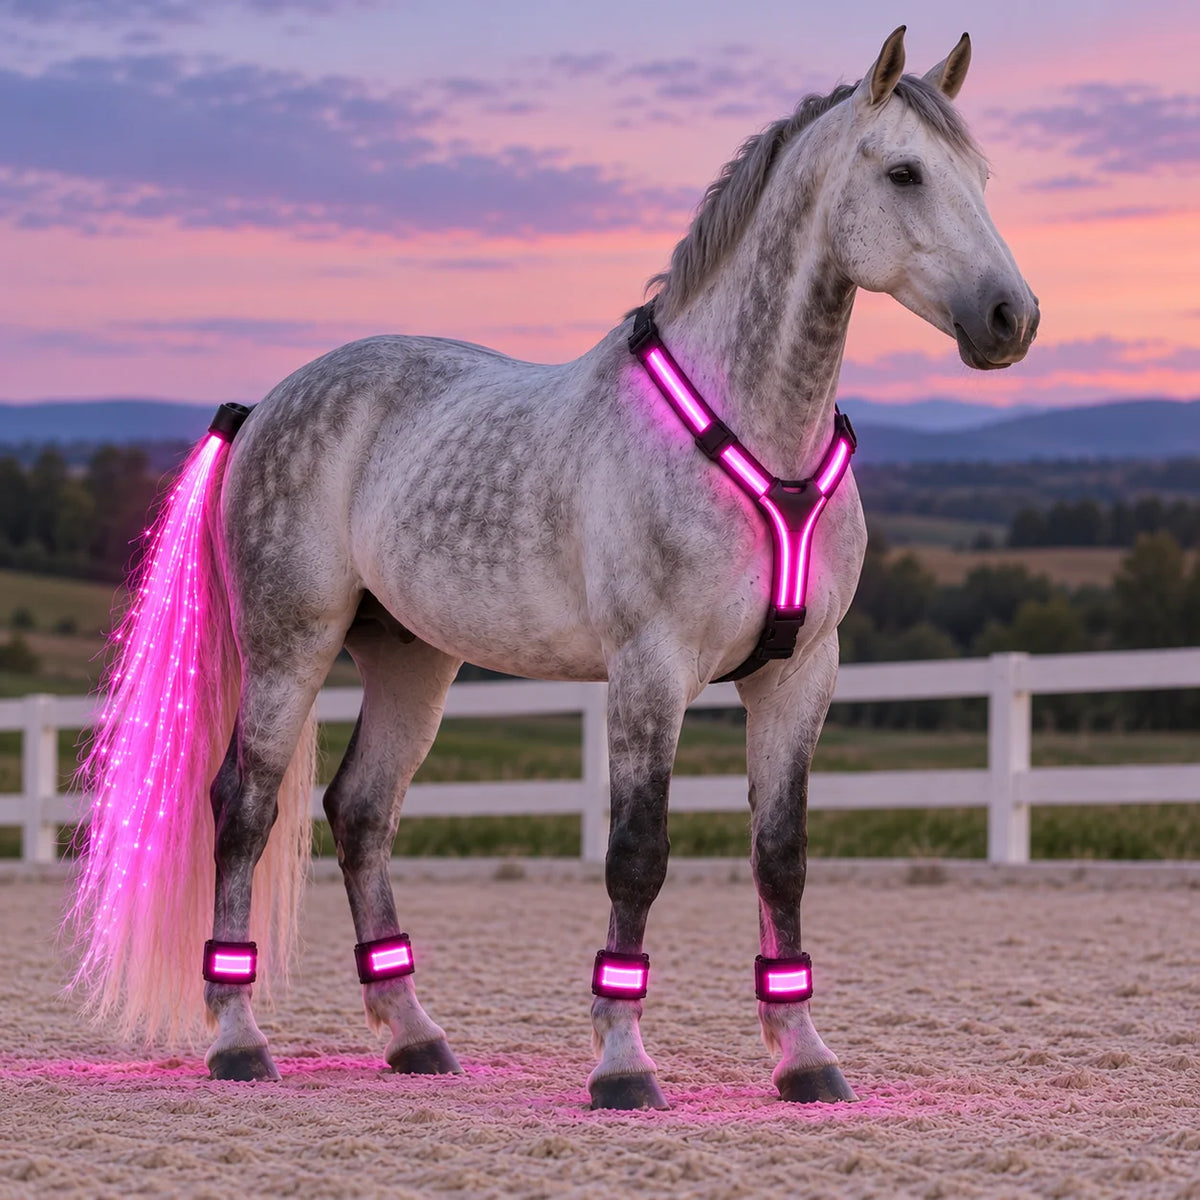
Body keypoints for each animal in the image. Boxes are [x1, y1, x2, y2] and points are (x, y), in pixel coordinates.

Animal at [68, 27, 1038, 1110]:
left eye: (980, 177)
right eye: (905, 172)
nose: (1012, 317)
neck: (752, 429)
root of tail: (267, 405)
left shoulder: (800, 675)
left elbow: (780, 858)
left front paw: (803, 1056)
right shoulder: (649, 673)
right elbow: (637, 856)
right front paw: (622, 1064)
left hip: (412, 661)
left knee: (361, 812)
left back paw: (413, 1035)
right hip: (290, 647)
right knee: (243, 809)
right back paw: (238, 1040)